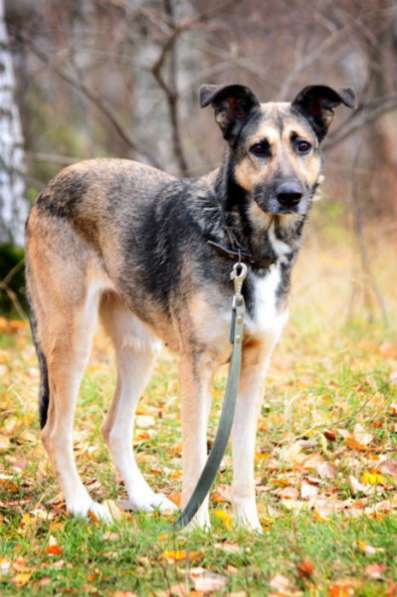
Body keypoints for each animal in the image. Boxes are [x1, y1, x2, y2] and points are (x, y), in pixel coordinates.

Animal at [25, 84, 352, 532]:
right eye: (259, 148)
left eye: (302, 145)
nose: (290, 195)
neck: (242, 248)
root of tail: (49, 187)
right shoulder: (197, 366)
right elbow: (198, 454)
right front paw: (197, 528)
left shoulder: (253, 368)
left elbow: (244, 457)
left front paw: (248, 526)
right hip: (71, 339)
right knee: (54, 430)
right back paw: (81, 505)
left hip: (138, 348)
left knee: (114, 428)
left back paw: (143, 499)